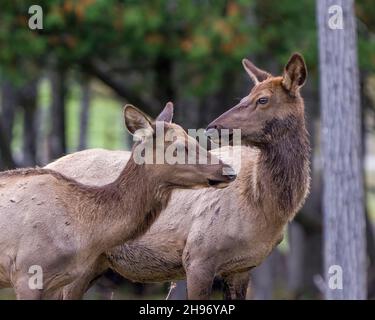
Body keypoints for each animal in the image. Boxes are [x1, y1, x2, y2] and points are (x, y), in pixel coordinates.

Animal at [46, 53, 312, 300]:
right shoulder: (198, 255)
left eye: (262, 99)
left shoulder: (243, 267)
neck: (267, 209)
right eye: (245, 97)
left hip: (96, 262)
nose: (213, 127)